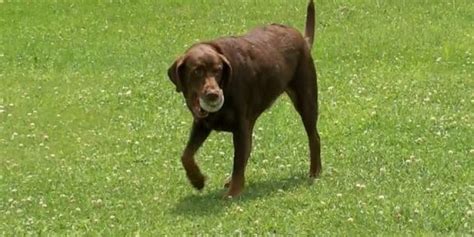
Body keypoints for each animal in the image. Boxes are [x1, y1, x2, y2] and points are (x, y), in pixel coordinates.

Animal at [168, 0, 320, 197]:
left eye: (218, 70)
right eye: (197, 71)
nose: (213, 94)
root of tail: (302, 38)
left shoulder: (241, 126)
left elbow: (238, 161)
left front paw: (233, 192)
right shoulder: (202, 124)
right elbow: (186, 155)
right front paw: (197, 180)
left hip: (306, 100)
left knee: (314, 137)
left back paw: (315, 171)